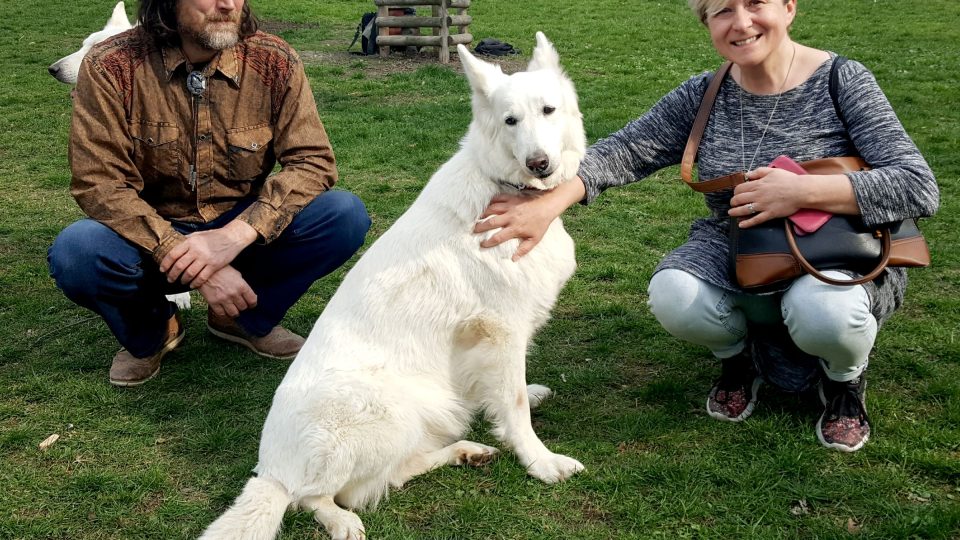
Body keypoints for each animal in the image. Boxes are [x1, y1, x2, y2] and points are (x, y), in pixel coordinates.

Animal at [201, 32, 584, 540]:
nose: (538, 164)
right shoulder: (501, 330)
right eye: (510, 121)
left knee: (390, 476)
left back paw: (466, 452)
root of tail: (272, 471)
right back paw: (342, 519)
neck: (503, 185)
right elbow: (514, 404)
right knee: (319, 496)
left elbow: (509, 392)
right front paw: (540, 462)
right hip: (385, 409)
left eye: (548, 110)